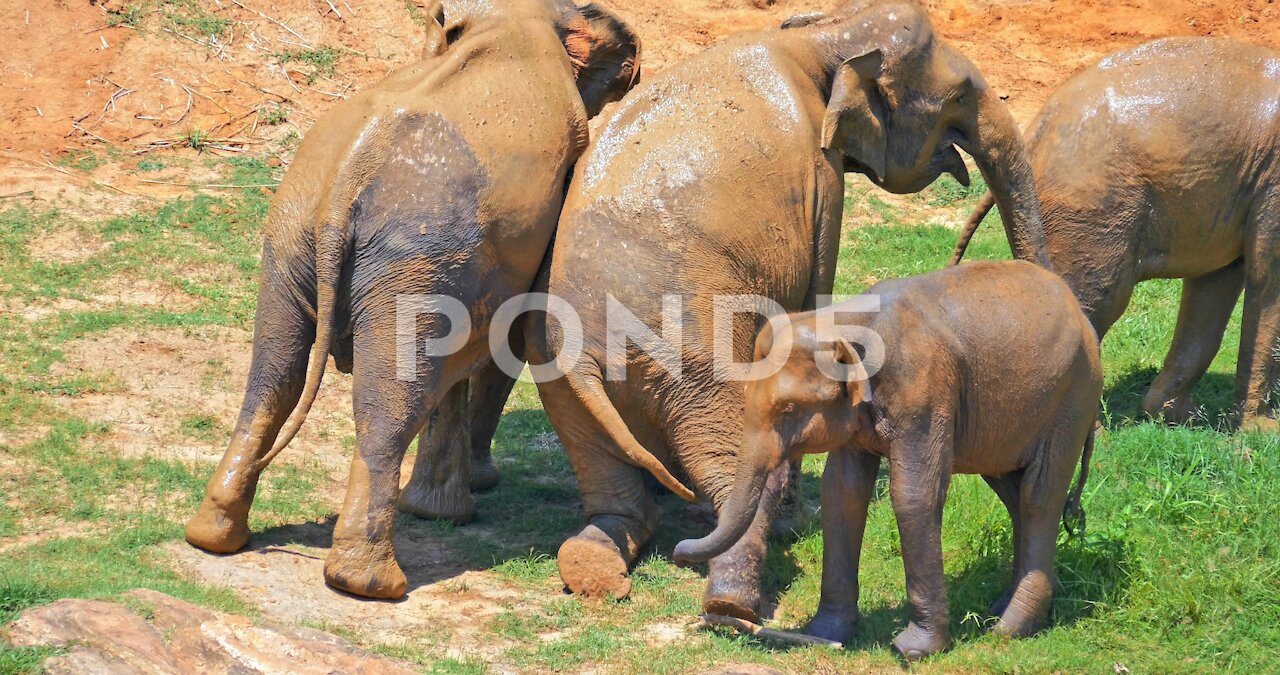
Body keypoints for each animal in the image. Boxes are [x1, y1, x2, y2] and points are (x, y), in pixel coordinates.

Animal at [180, 0, 640, 601]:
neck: (509, 22)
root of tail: (346, 179)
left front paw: (448, 506)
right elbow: (507, 341)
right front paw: (464, 500)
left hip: (298, 236)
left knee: (273, 377)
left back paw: (214, 537)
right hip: (409, 254)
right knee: (388, 401)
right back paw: (372, 584)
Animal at [494, 1, 1044, 622]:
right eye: (957, 97)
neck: (819, 38)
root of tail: (585, 351)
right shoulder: (823, 180)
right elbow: (811, 298)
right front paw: (792, 523)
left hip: (561, 381)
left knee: (608, 483)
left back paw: (597, 570)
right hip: (692, 367)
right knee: (732, 463)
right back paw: (734, 603)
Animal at [675, 261, 1105, 660]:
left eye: (789, 409)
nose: (680, 550)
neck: (843, 321)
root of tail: (1077, 309)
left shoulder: (923, 392)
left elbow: (914, 495)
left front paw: (913, 651)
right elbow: (841, 492)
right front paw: (826, 633)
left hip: (1072, 397)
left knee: (1038, 495)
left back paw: (1009, 630)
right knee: (1010, 488)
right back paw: (1004, 609)